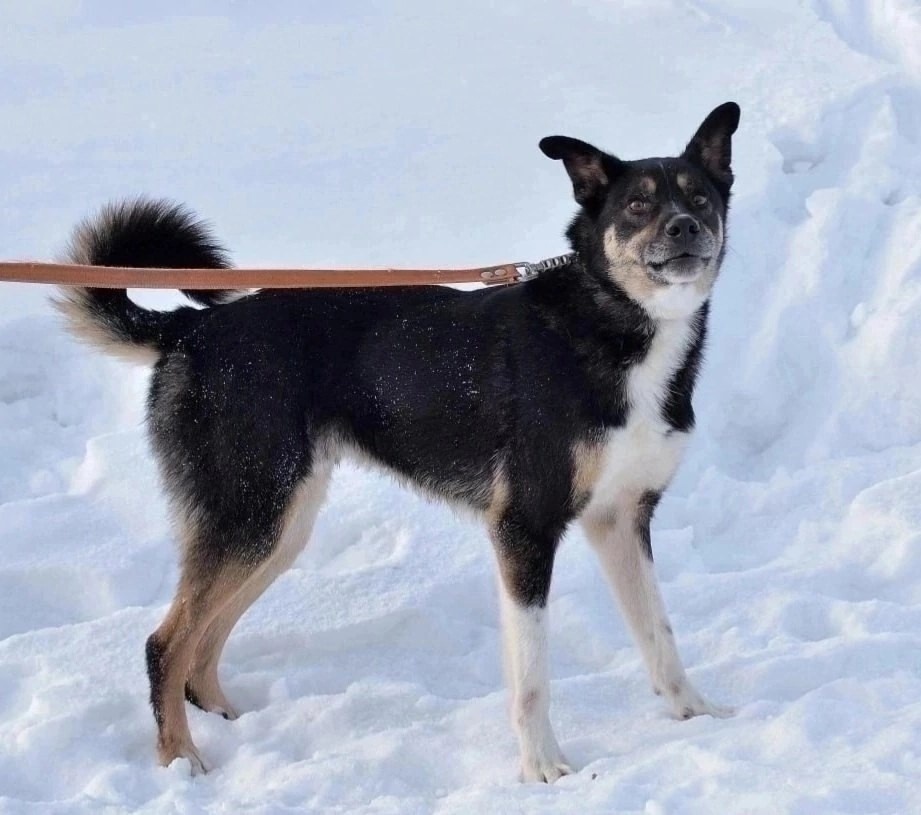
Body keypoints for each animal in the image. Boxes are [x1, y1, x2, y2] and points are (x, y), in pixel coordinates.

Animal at [52, 102, 740, 784]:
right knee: (165, 645)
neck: (615, 326)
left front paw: (696, 713)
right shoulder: (523, 528)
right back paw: (181, 760)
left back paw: (226, 721)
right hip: (251, 514)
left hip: (278, 525)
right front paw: (543, 767)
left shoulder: (621, 518)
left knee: (201, 647)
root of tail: (190, 328)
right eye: (637, 206)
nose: (683, 227)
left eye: (700, 198)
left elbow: (660, 635)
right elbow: (532, 677)